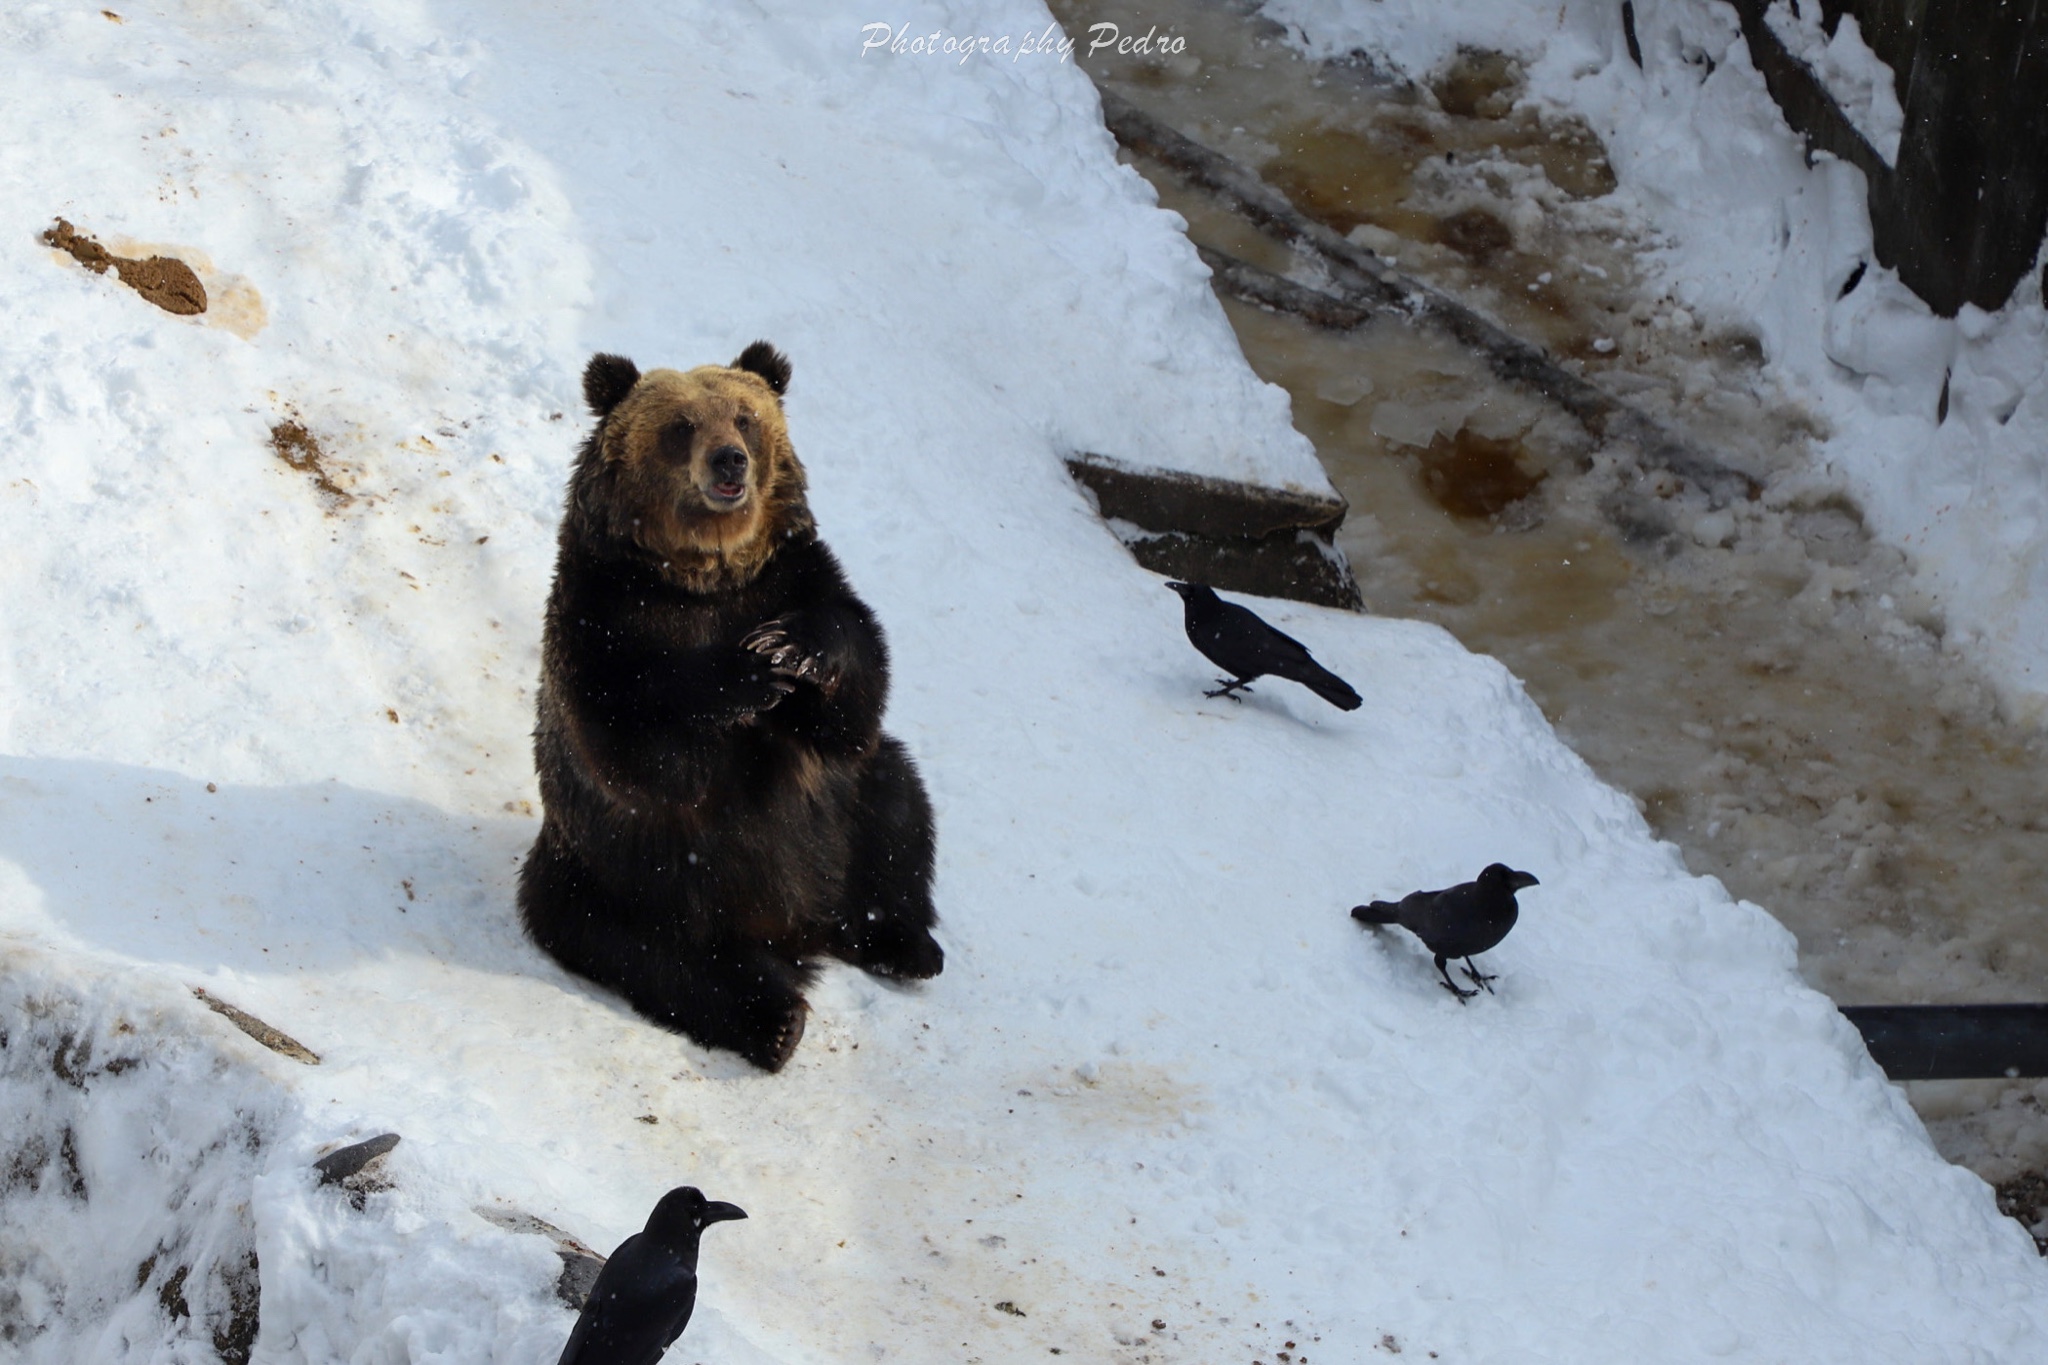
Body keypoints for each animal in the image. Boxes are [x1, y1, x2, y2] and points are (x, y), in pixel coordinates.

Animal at [524, 341, 946, 1064]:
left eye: (746, 416)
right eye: (681, 425)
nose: (730, 461)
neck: (703, 577)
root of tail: (798, 930)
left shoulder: (795, 576)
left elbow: (855, 692)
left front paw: (790, 649)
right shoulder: (600, 612)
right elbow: (633, 745)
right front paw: (747, 676)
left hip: (842, 816)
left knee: (896, 810)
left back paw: (905, 942)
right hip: (620, 877)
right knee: (650, 954)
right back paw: (774, 1020)